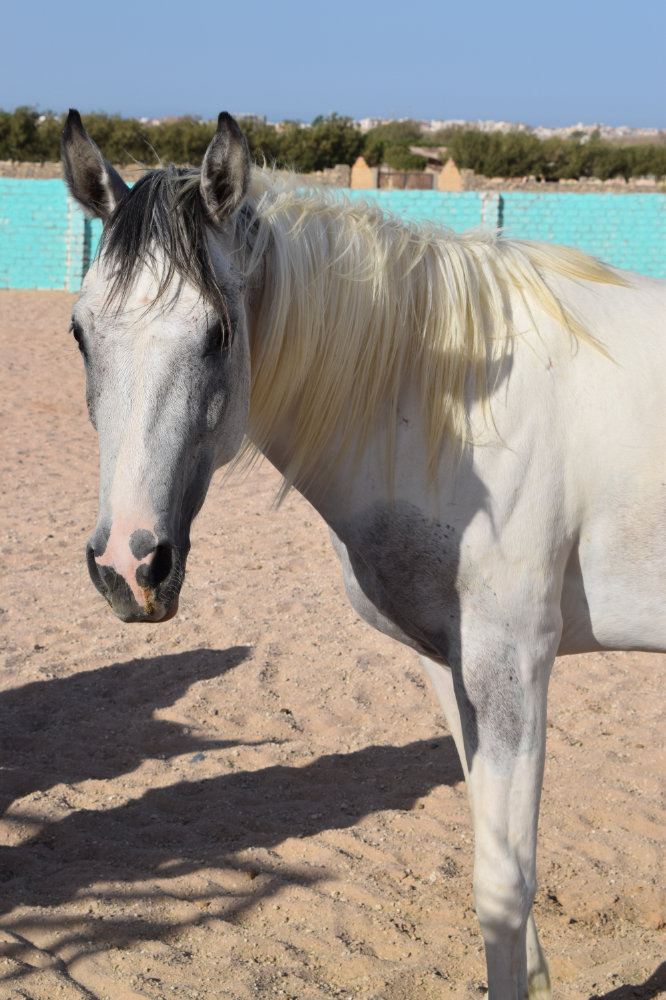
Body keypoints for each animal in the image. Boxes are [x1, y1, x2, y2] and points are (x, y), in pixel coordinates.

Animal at [61, 108, 665, 1000]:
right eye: (80, 332)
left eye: (217, 332)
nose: (129, 568)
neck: (450, 416)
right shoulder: (450, 666)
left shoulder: (513, 664)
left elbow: (503, 885)